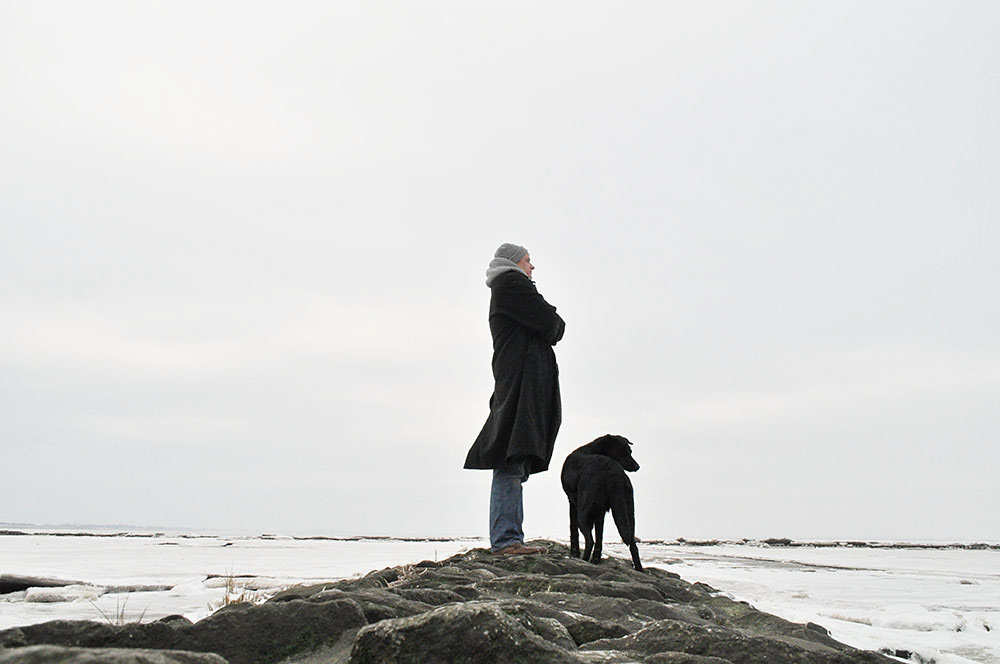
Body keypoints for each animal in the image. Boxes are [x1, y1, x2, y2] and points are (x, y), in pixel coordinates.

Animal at [560, 434, 643, 571]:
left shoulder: (572, 501)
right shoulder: (601, 511)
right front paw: (596, 559)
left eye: (629, 451)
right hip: (629, 512)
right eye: (624, 452)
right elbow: (600, 535)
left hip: (583, 512)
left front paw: (574, 552)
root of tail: (613, 470)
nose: (637, 466)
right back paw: (639, 568)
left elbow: (573, 529)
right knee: (633, 544)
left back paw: (584, 560)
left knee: (589, 540)